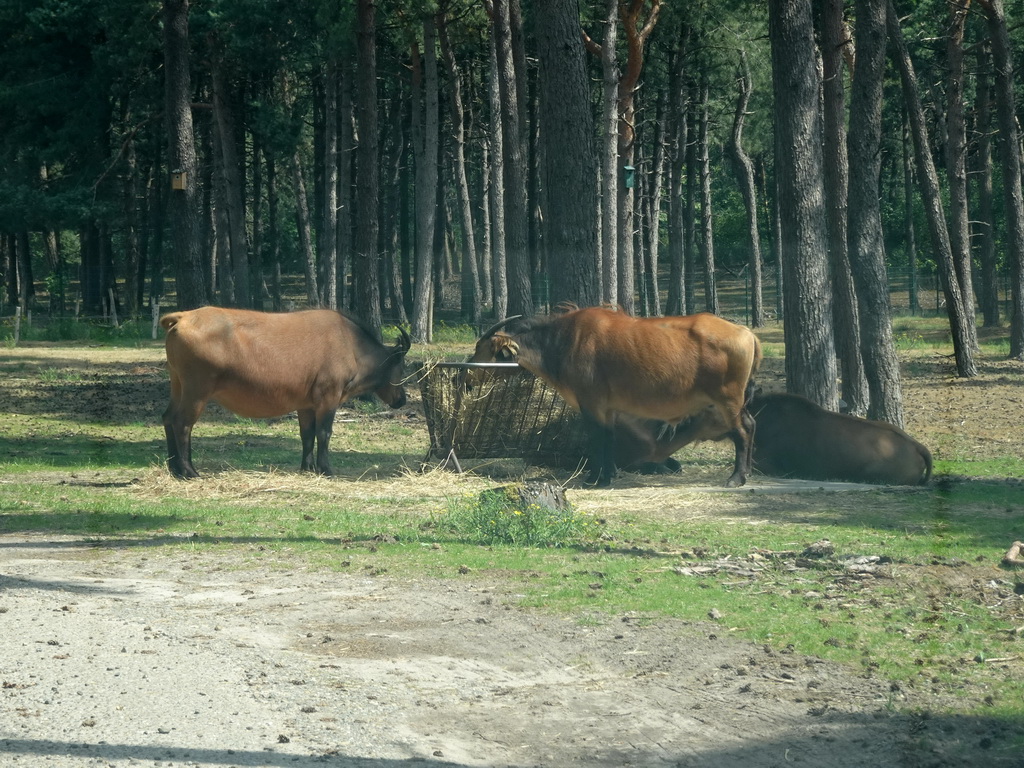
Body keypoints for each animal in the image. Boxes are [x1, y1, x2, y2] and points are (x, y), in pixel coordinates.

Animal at [159, 309, 407, 481]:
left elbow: (307, 434)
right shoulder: (329, 398)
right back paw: (189, 470)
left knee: (168, 418)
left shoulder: (306, 404)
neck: (351, 344)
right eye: (403, 368)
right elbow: (324, 433)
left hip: (178, 385)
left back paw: (174, 468)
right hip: (197, 392)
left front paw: (307, 466)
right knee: (182, 423)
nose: (402, 399)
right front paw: (325, 468)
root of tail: (183, 317)